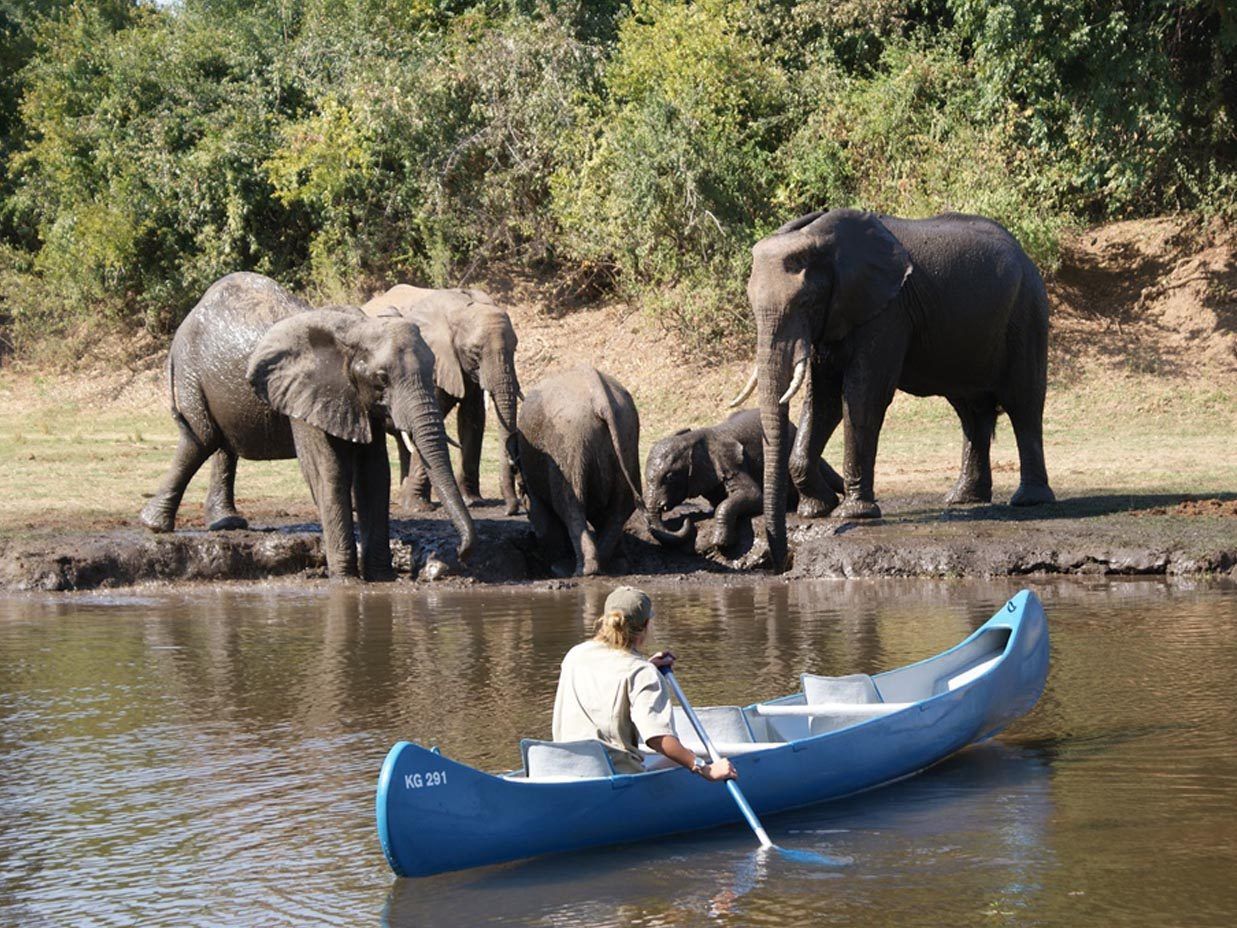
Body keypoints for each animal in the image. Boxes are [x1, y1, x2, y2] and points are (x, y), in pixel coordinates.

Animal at [138, 272, 475, 580]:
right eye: (382, 379)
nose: (460, 553)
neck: (358, 329)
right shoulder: (308, 393)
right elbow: (329, 471)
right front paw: (345, 580)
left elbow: (375, 473)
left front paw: (381, 578)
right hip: (190, 371)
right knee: (201, 439)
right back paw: (154, 524)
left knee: (223, 445)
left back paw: (226, 523)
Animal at [361, 285, 521, 515]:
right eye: (474, 352)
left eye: (514, 348)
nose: (510, 510)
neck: (460, 309)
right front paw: (418, 508)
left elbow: (472, 418)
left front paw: (473, 501)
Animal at [515, 365, 641, 577]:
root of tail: (600, 398)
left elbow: (543, 517)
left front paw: (554, 565)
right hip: (627, 438)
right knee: (620, 507)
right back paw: (613, 565)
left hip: (570, 445)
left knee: (570, 505)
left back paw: (580, 570)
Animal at [644, 408, 844, 552]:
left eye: (669, 477)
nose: (687, 520)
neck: (692, 438)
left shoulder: (731, 461)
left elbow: (754, 496)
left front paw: (720, 542)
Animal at [739, 208, 1056, 570]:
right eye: (751, 305)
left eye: (806, 301)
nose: (779, 562)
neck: (820, 238)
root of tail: (1025, 255)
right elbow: (823, 401)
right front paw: (817, 510)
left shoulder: (887, 312)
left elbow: (861, 396)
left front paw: (853, 514)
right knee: (970, 412)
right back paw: (963, 500)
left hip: (1027, 311)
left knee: (1023, 403)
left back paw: (1029, 501)